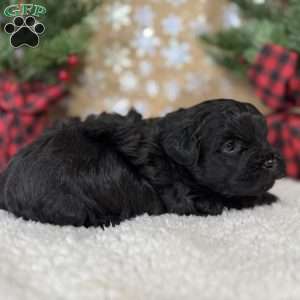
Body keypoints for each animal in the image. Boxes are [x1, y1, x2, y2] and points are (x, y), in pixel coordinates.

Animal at [0, 99, 284, 226]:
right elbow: (231, 199)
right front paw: (265, 198)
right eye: (230, 146)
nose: (270, 160)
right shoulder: (192, 198)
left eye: (265, 136)